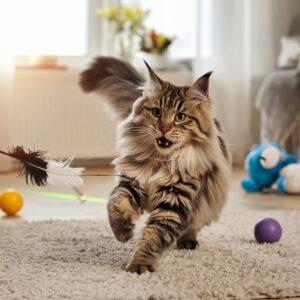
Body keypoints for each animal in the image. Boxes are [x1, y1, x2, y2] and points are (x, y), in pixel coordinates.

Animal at [79, 56, 230, 274]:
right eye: (157, 112)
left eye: (180, 117)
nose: (164, 129)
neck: (160, 162)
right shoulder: (131, 183)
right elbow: (114, 205)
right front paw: (123, 231)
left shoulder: (174, 202)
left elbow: (152, 237)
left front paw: (139, 264)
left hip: (207, 199)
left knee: (195, 220)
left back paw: (188, 240)